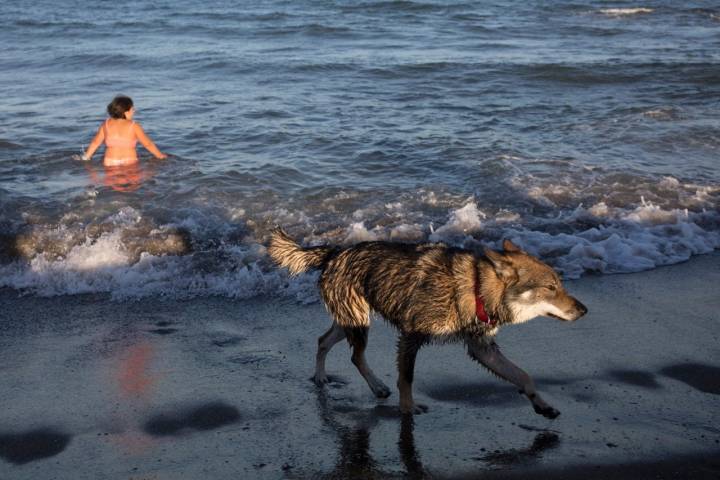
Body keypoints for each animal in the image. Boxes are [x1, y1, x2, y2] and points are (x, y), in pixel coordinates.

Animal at [268, 227, 588, 418]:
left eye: (560, 284)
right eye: (551, 288)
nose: (585, 310)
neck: (475, 288)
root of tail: (334, 252)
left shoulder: (482, 349)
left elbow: (523, 376)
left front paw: (543, 405)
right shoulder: (411, 338)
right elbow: (406, 379)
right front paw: (407, 409)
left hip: (352, 321)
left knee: (324, 341)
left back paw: (325, 378)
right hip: (358, 323)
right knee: (355, 356)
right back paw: (372, 386)